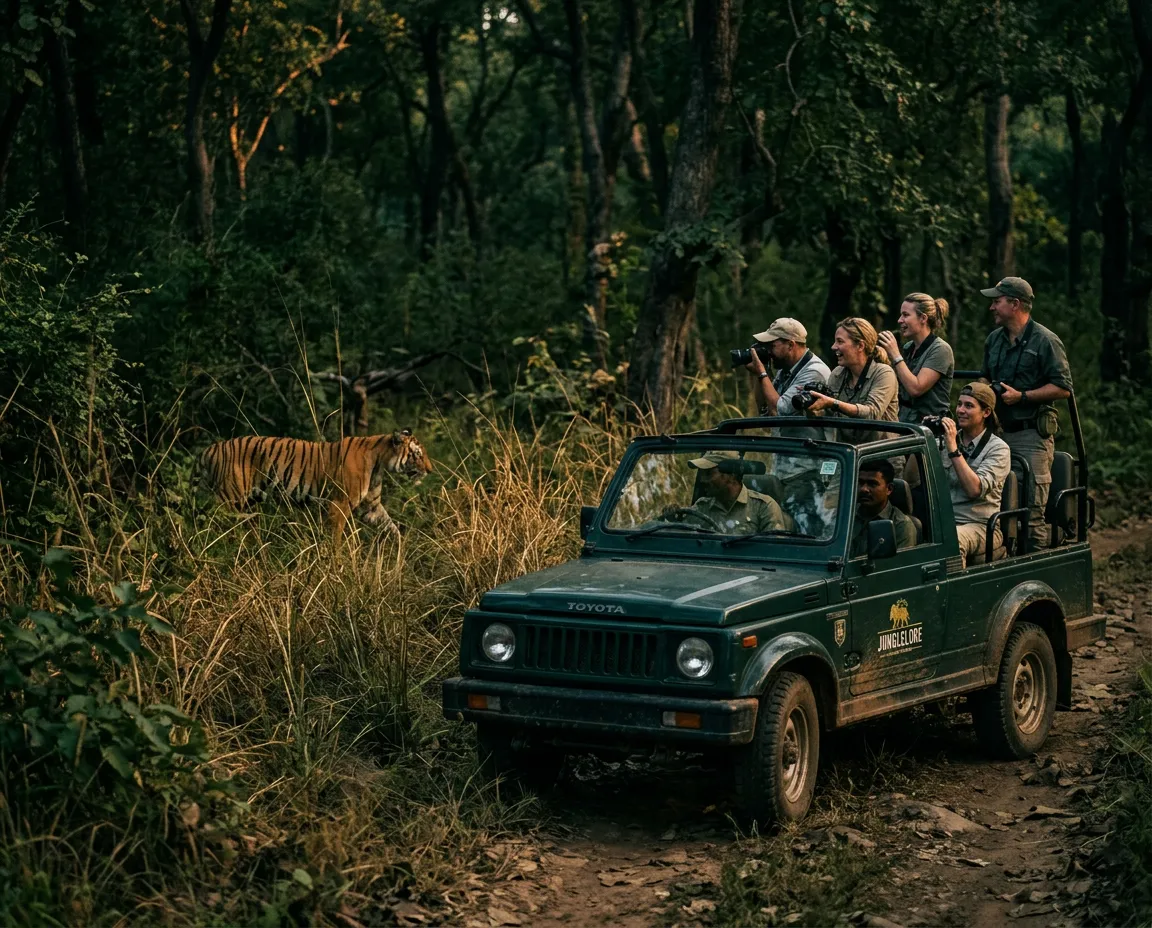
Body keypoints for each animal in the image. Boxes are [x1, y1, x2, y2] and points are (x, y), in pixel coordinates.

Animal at [198, 429, 433, 536]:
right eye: (418, 455)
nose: (430, 470)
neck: (380, 463)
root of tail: (209, 449)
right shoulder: (339, 504)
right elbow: (336, 538)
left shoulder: (371, 506)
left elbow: (391, 527)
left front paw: (400, 554)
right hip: (229, 498)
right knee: (208, 521)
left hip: (246, 502)